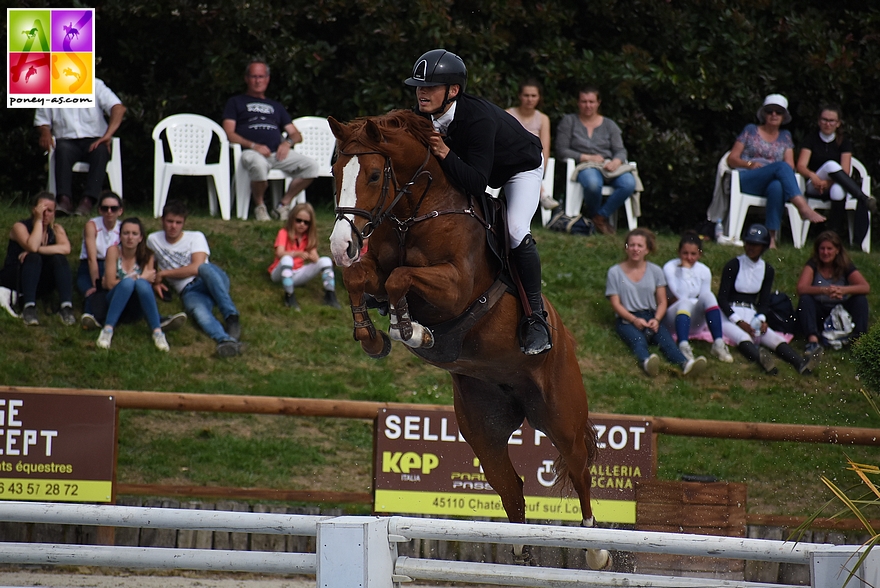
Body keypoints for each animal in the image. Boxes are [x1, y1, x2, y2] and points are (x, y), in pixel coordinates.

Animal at [326, 110, 608, 568]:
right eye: (335, 173)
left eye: (373, 174)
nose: (341, 244)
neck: (415, 211)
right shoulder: (374, 273)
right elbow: (362, 278)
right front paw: (373, 338)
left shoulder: (455, 285)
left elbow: (401, 278)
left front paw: (411, 331)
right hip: (483, 429)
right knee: (510, 485)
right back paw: (520, 548)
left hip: (559, 414)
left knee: (579, 468)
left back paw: (595, 549)